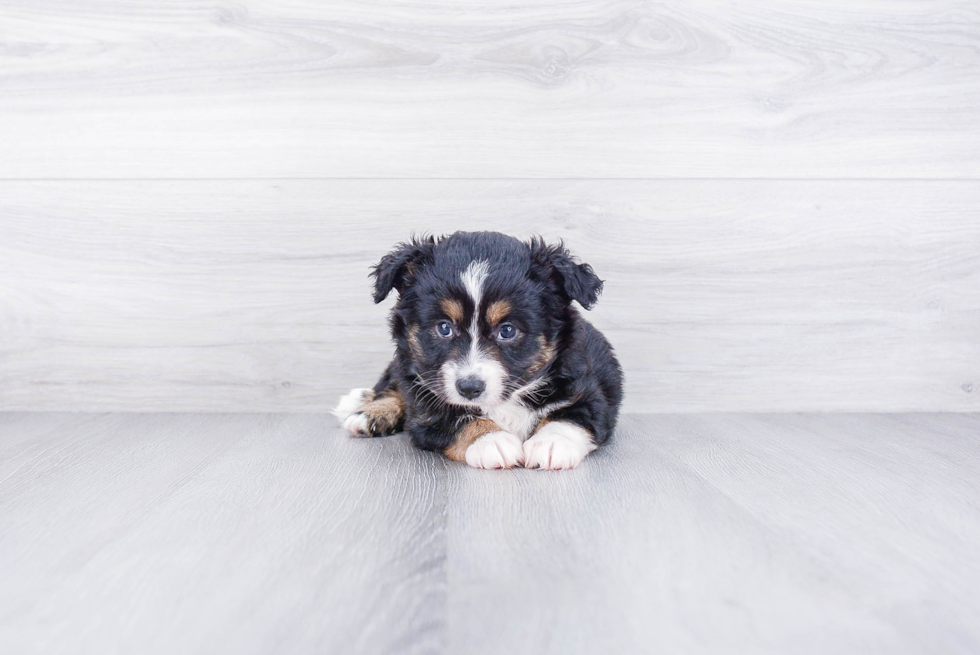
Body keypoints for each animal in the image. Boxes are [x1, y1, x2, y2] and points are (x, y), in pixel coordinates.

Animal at [334, 231, 624, 472]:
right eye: (444, 327)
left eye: (507, 330)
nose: (469, 388)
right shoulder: (426, 406)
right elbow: (456, 418)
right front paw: (491, 440)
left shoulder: (590, 391)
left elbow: (569, 416)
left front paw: (551, 444)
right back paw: (366, 409)